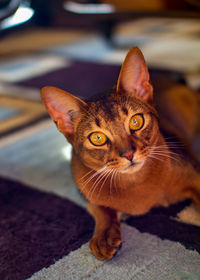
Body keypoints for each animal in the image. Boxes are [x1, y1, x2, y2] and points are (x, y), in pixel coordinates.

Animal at [41, 47, 200, 260]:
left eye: (136, 121)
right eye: (97, 138)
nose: (129, 153)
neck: (136, 185)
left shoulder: (194, 173)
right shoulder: (85, 191)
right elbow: (100, 209)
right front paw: (104, 235)